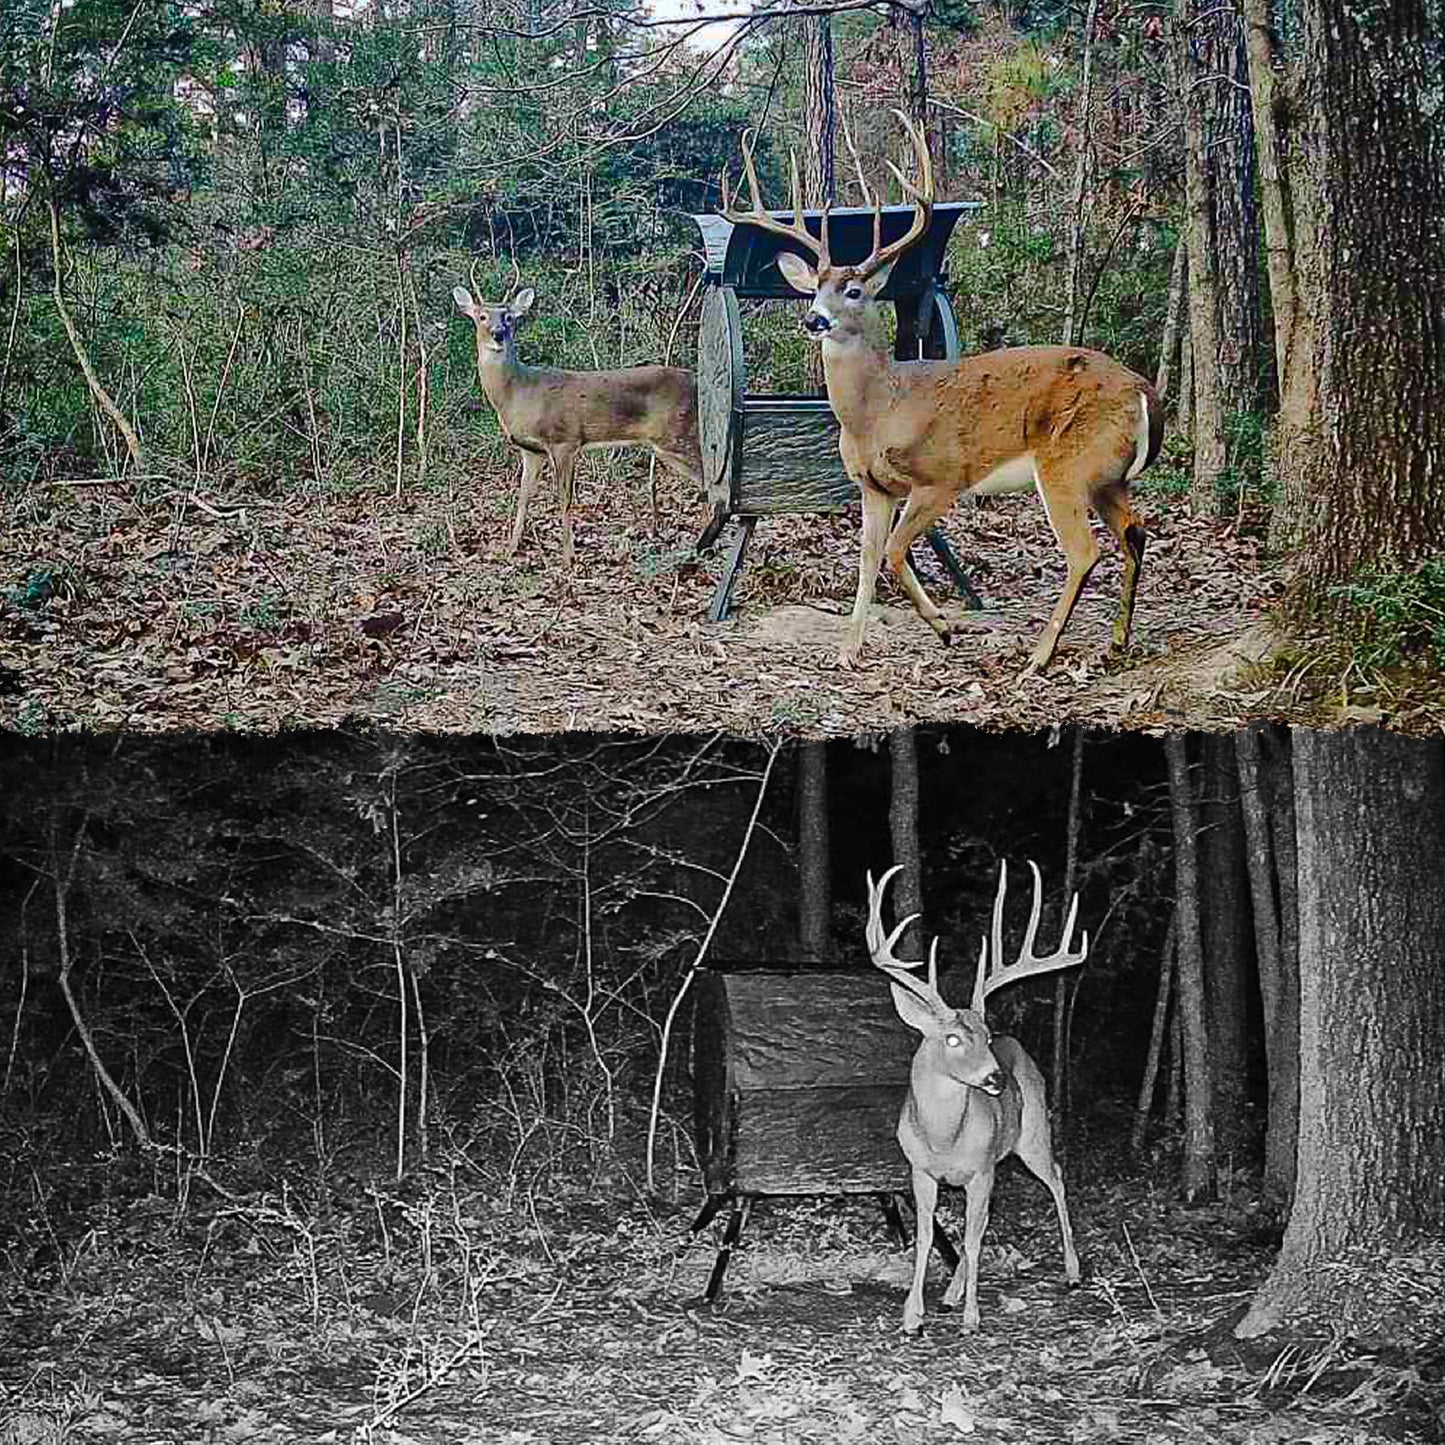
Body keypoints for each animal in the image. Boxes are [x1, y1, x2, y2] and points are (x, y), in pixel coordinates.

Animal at [452, 283, 706, 566]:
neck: (518, 393)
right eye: (481, 316)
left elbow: (564, 499)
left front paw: (568, 557)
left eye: (509, 317)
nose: (497, 334)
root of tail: (696, 380)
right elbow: (523, 498)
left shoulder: (564, 440)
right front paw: (510, 550)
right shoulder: (532, 450)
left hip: (676, 435)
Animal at [722, 112, 1164, 676]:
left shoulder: (942, 477)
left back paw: (1039, 657)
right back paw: (1117, 642)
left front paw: (944, 626)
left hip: (1068, 464)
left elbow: (893, 552)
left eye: (855, 290)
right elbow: (868, 557)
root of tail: (1147, 393)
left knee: (1085, 551)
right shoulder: (873, 486)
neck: (879, 412)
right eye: (814, 288)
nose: (813, 319)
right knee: (1135, 531)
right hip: (1108, 477)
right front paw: (848, 649)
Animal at [866, 860, 1084, 1334]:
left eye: (985, 1035)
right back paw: (950, 1294)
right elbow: (929, 1236)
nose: (996, 1078)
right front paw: (913, 1316)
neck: (942, 1137)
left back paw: (1073, 1272)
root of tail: (1017, 1046)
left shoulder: (981, 1171)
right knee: (986, 1219)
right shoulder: (921, 1172)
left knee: (1057, 1178)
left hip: (1033, 1134)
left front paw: (972, 1318)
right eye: (951, 1038)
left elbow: (970, 1239)